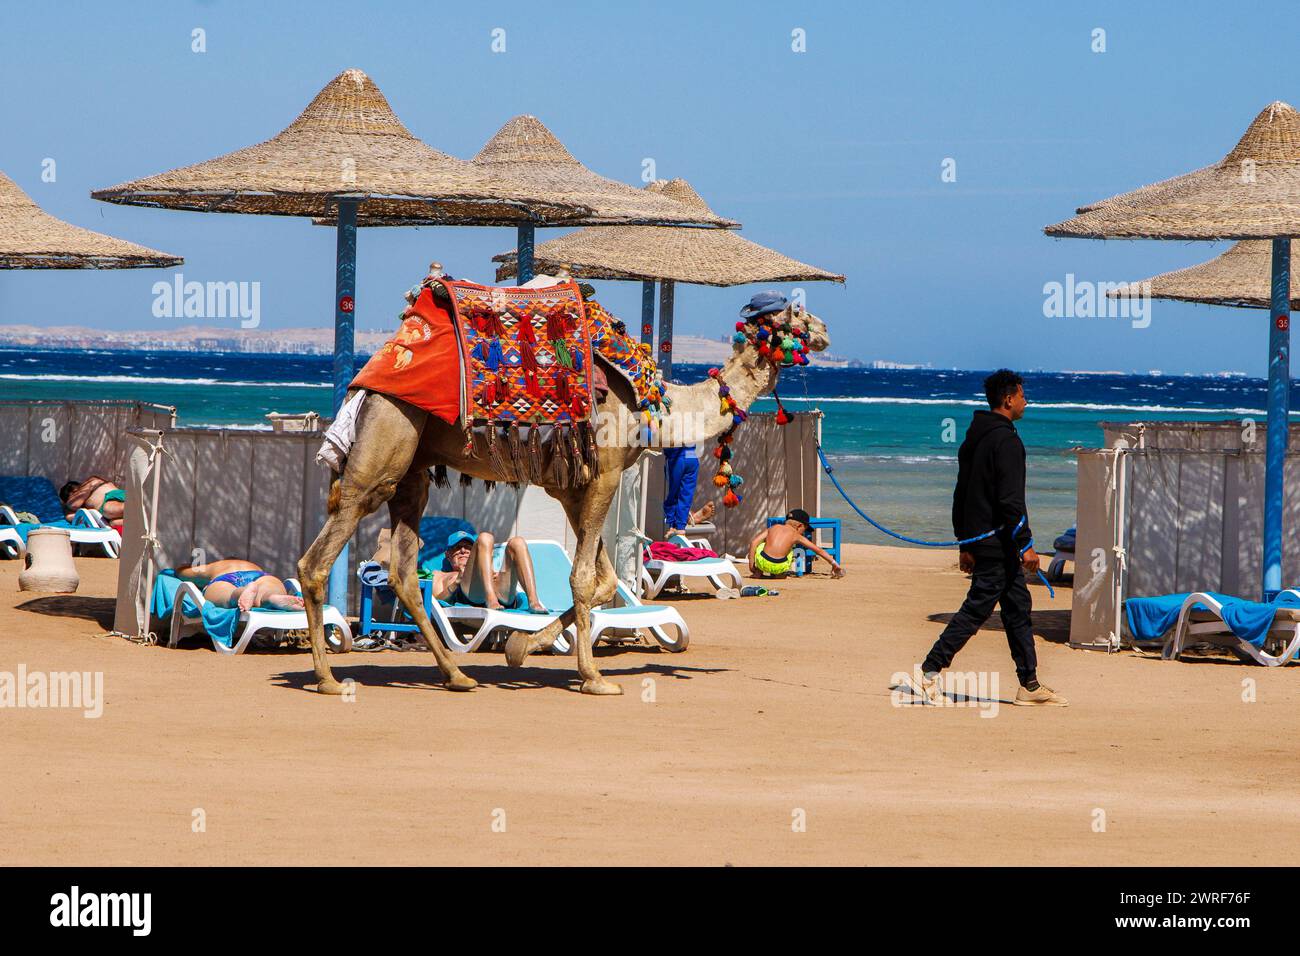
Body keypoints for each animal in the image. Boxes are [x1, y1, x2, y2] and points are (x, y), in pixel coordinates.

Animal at [297, 299, 826, 697]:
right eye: (794, 315)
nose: (824, 331)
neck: (656, 405)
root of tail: (367, 382)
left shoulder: (570, 486)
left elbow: (604, 580)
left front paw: (520, 648)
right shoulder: (606, 472)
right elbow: (584, 577)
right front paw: (593, 677)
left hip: (411, 470)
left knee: (404, 572)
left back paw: (457, 675)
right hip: (387, 441)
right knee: (318, 558)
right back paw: (327, 679)